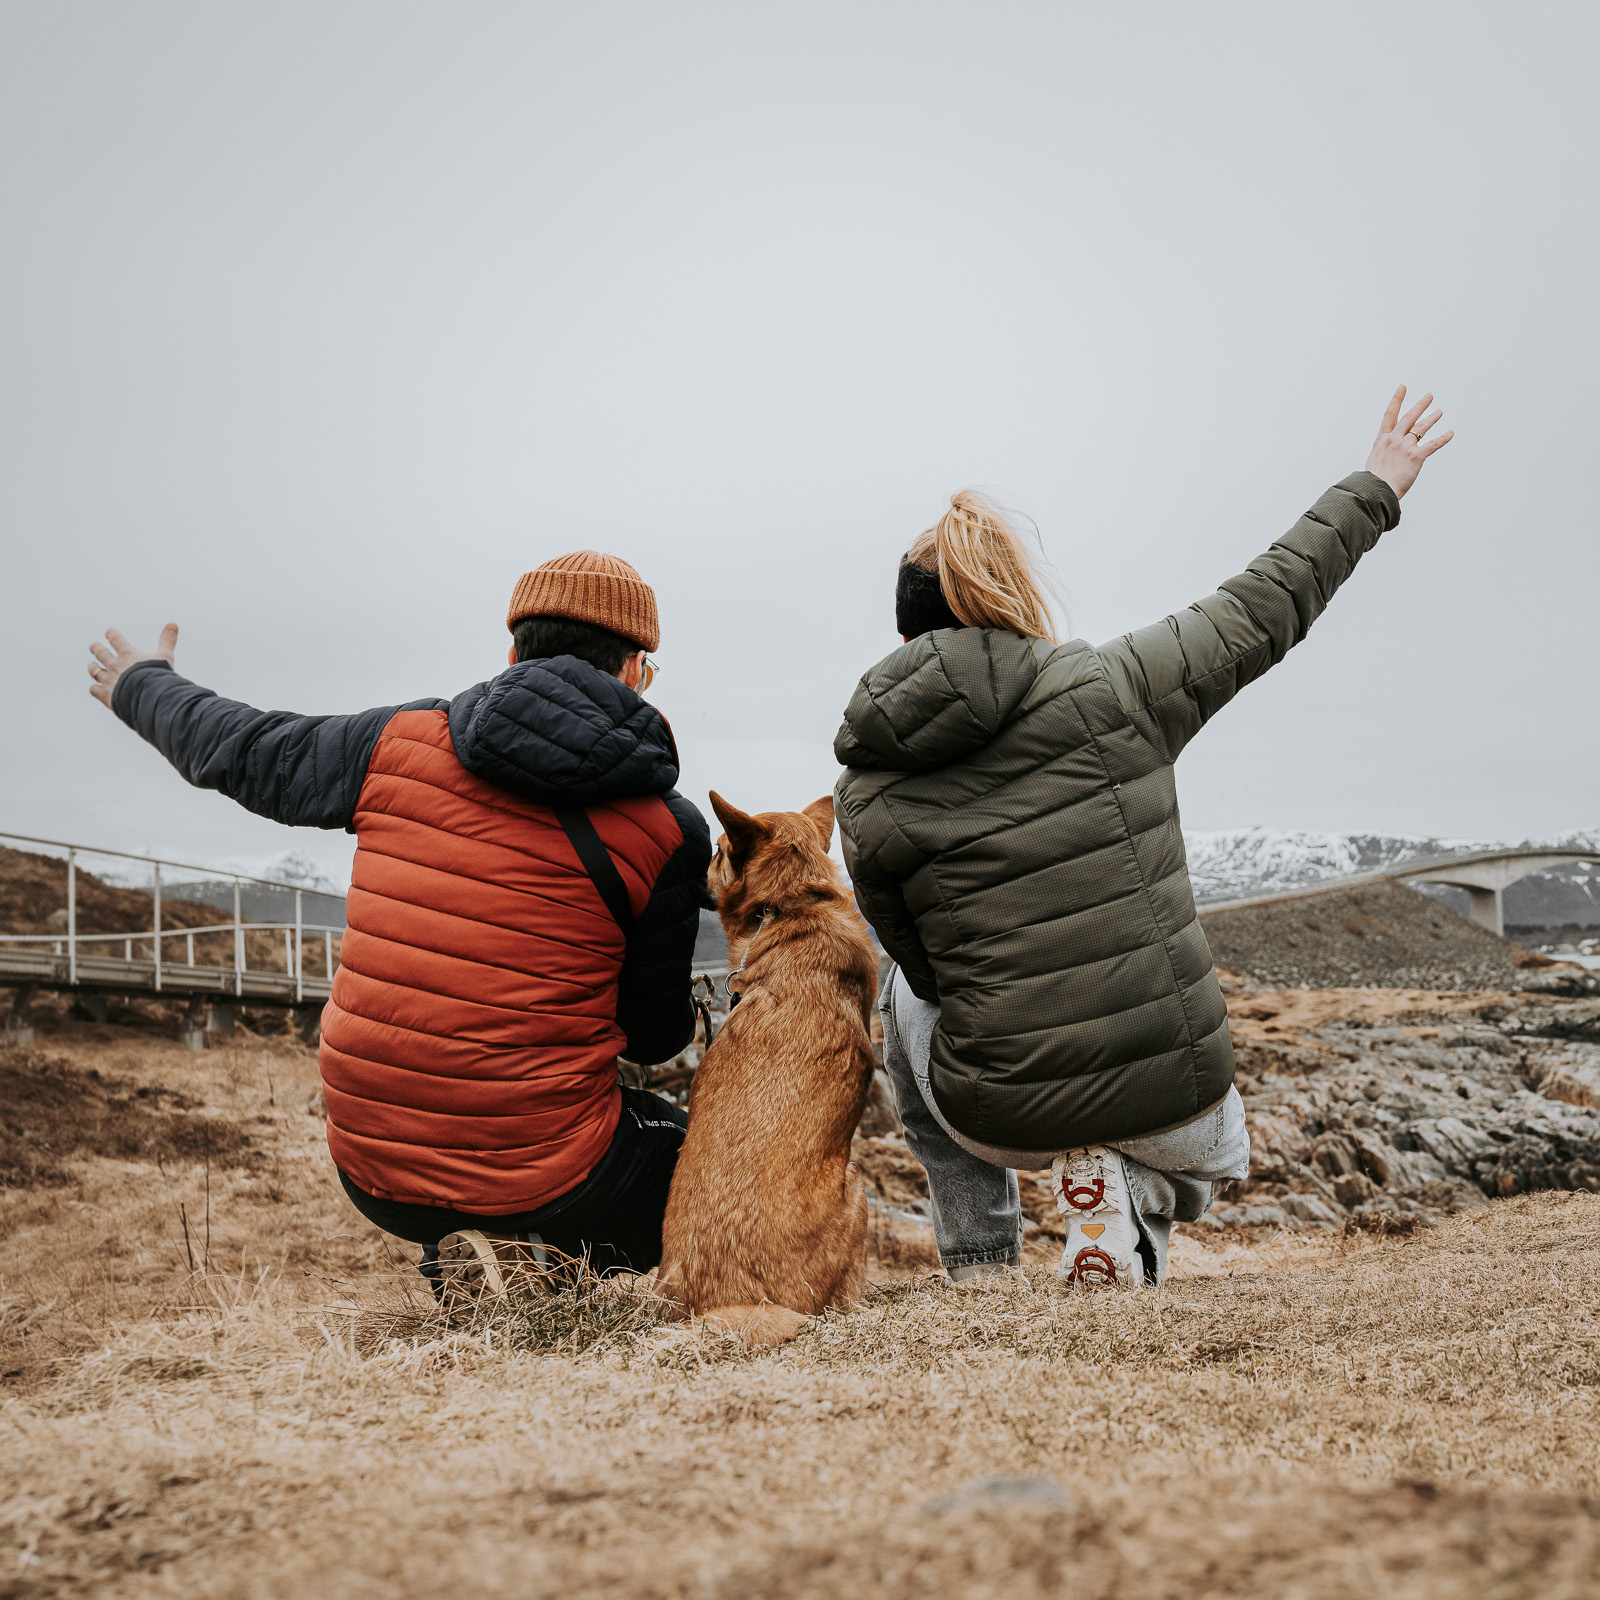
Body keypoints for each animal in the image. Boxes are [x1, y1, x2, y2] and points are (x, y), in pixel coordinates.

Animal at [659, 793, 889, 1344]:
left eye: (716, 850)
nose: (691, 868)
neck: (792, 903)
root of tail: (730, 1303)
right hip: (857, 1190)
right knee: (839, 1302)